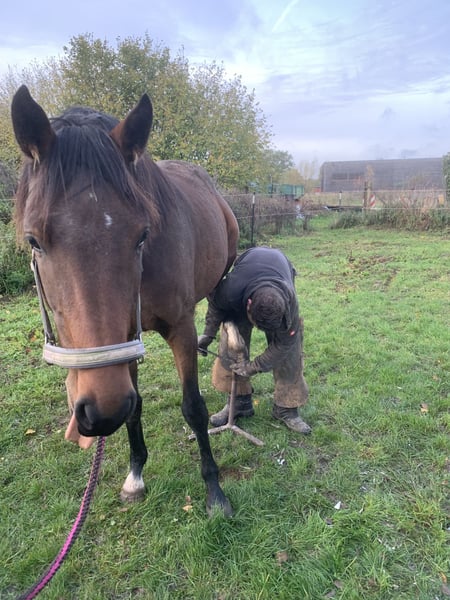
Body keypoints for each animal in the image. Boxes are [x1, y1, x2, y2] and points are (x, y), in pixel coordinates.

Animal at [11, 85, 239, 517]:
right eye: (34, 240)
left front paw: (215, 491)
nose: (100, 413)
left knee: (222, 306)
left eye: (142, 234)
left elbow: (194, 408)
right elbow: (135, 409)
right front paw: (135, 476)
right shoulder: (124, 342)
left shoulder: (179, 327)